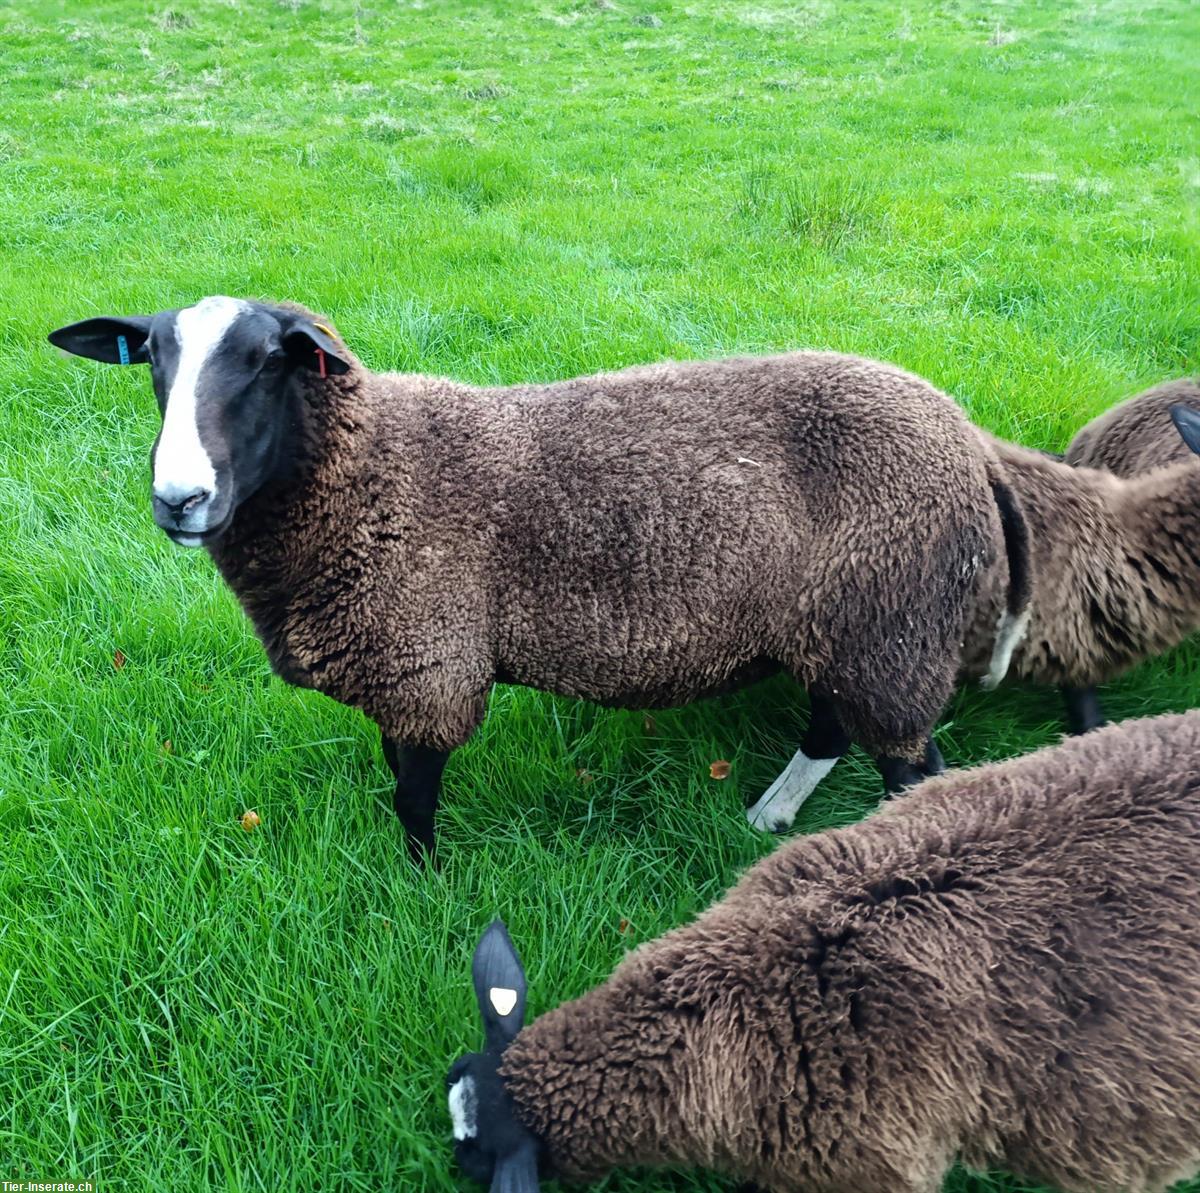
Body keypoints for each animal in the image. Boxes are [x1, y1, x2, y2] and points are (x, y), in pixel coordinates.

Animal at [42, 297, 1027, 854]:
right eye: (153, 362)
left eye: (265, 363)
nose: (179, 499)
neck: (373, 474)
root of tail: (971, 444)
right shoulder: (396, 666)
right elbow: (393, 773)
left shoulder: (428, 664)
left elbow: (413, 795)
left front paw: (421, 888)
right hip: (845, 623)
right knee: (830, 727)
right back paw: (767, 818)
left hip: (890, 624)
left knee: (910, 762)